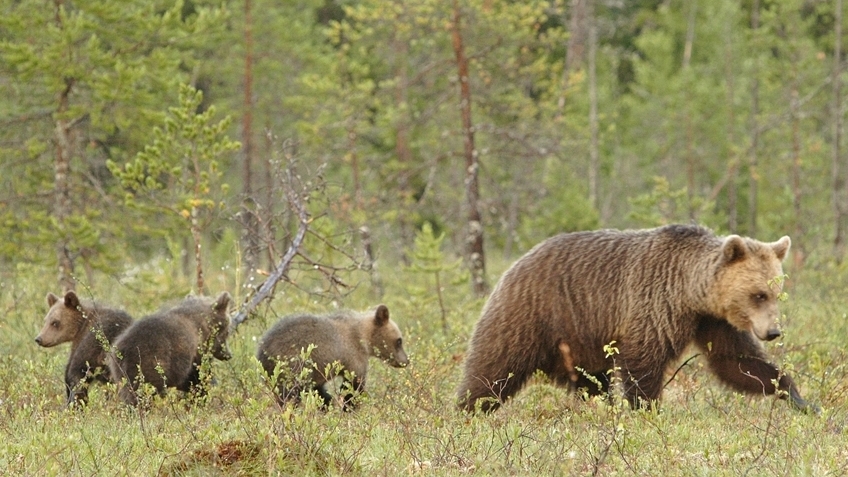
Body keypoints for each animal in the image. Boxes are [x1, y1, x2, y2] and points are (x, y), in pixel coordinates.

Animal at [454, 224, 820, 412]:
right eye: (758, 294)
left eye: (777, 292)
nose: (773, 332)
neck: (691, 293)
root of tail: (515, 264)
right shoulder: (654, 304)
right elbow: (642, 364)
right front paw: (647, 410)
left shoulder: (713, 321)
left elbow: (736, 361)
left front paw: (799, 399)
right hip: (533, 315)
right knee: (494, 369)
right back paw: (469, 410)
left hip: (578, 341)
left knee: (591, 383)